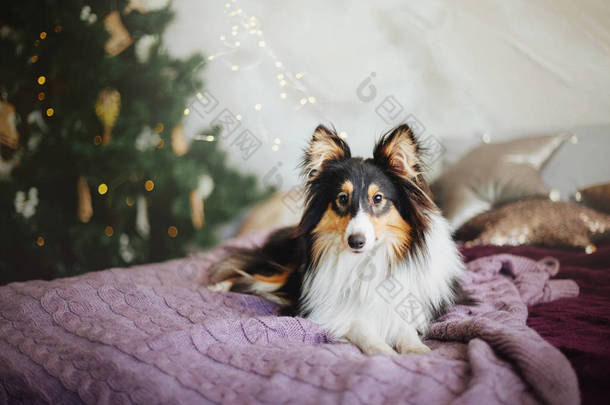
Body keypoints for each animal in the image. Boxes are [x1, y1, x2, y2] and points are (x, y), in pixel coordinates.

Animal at [209, 123, 466, 354]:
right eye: (342, 198)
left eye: (378, 198)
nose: (356, 242)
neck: (366, 262)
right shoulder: (328, 310)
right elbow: (361, 328)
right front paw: (384, 351)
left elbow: (405, 329)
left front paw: (418, 351)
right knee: (247, 272)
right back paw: (217, 286)